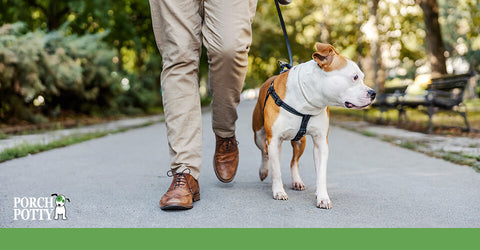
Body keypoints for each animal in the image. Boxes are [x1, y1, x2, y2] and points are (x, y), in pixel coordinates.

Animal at [251, 42, 376, 209]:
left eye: (362, 77)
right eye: (355, 77)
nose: (373, 93)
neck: (307, 100)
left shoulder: (321, 142)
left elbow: (321, 173)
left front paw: (322, 197)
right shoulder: (275, 139)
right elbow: (276, 170)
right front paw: (278, 191)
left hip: (300, 141)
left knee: (294, 161)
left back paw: (297, 181)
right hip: (259, 135)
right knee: (265, 152)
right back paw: (263, 171)